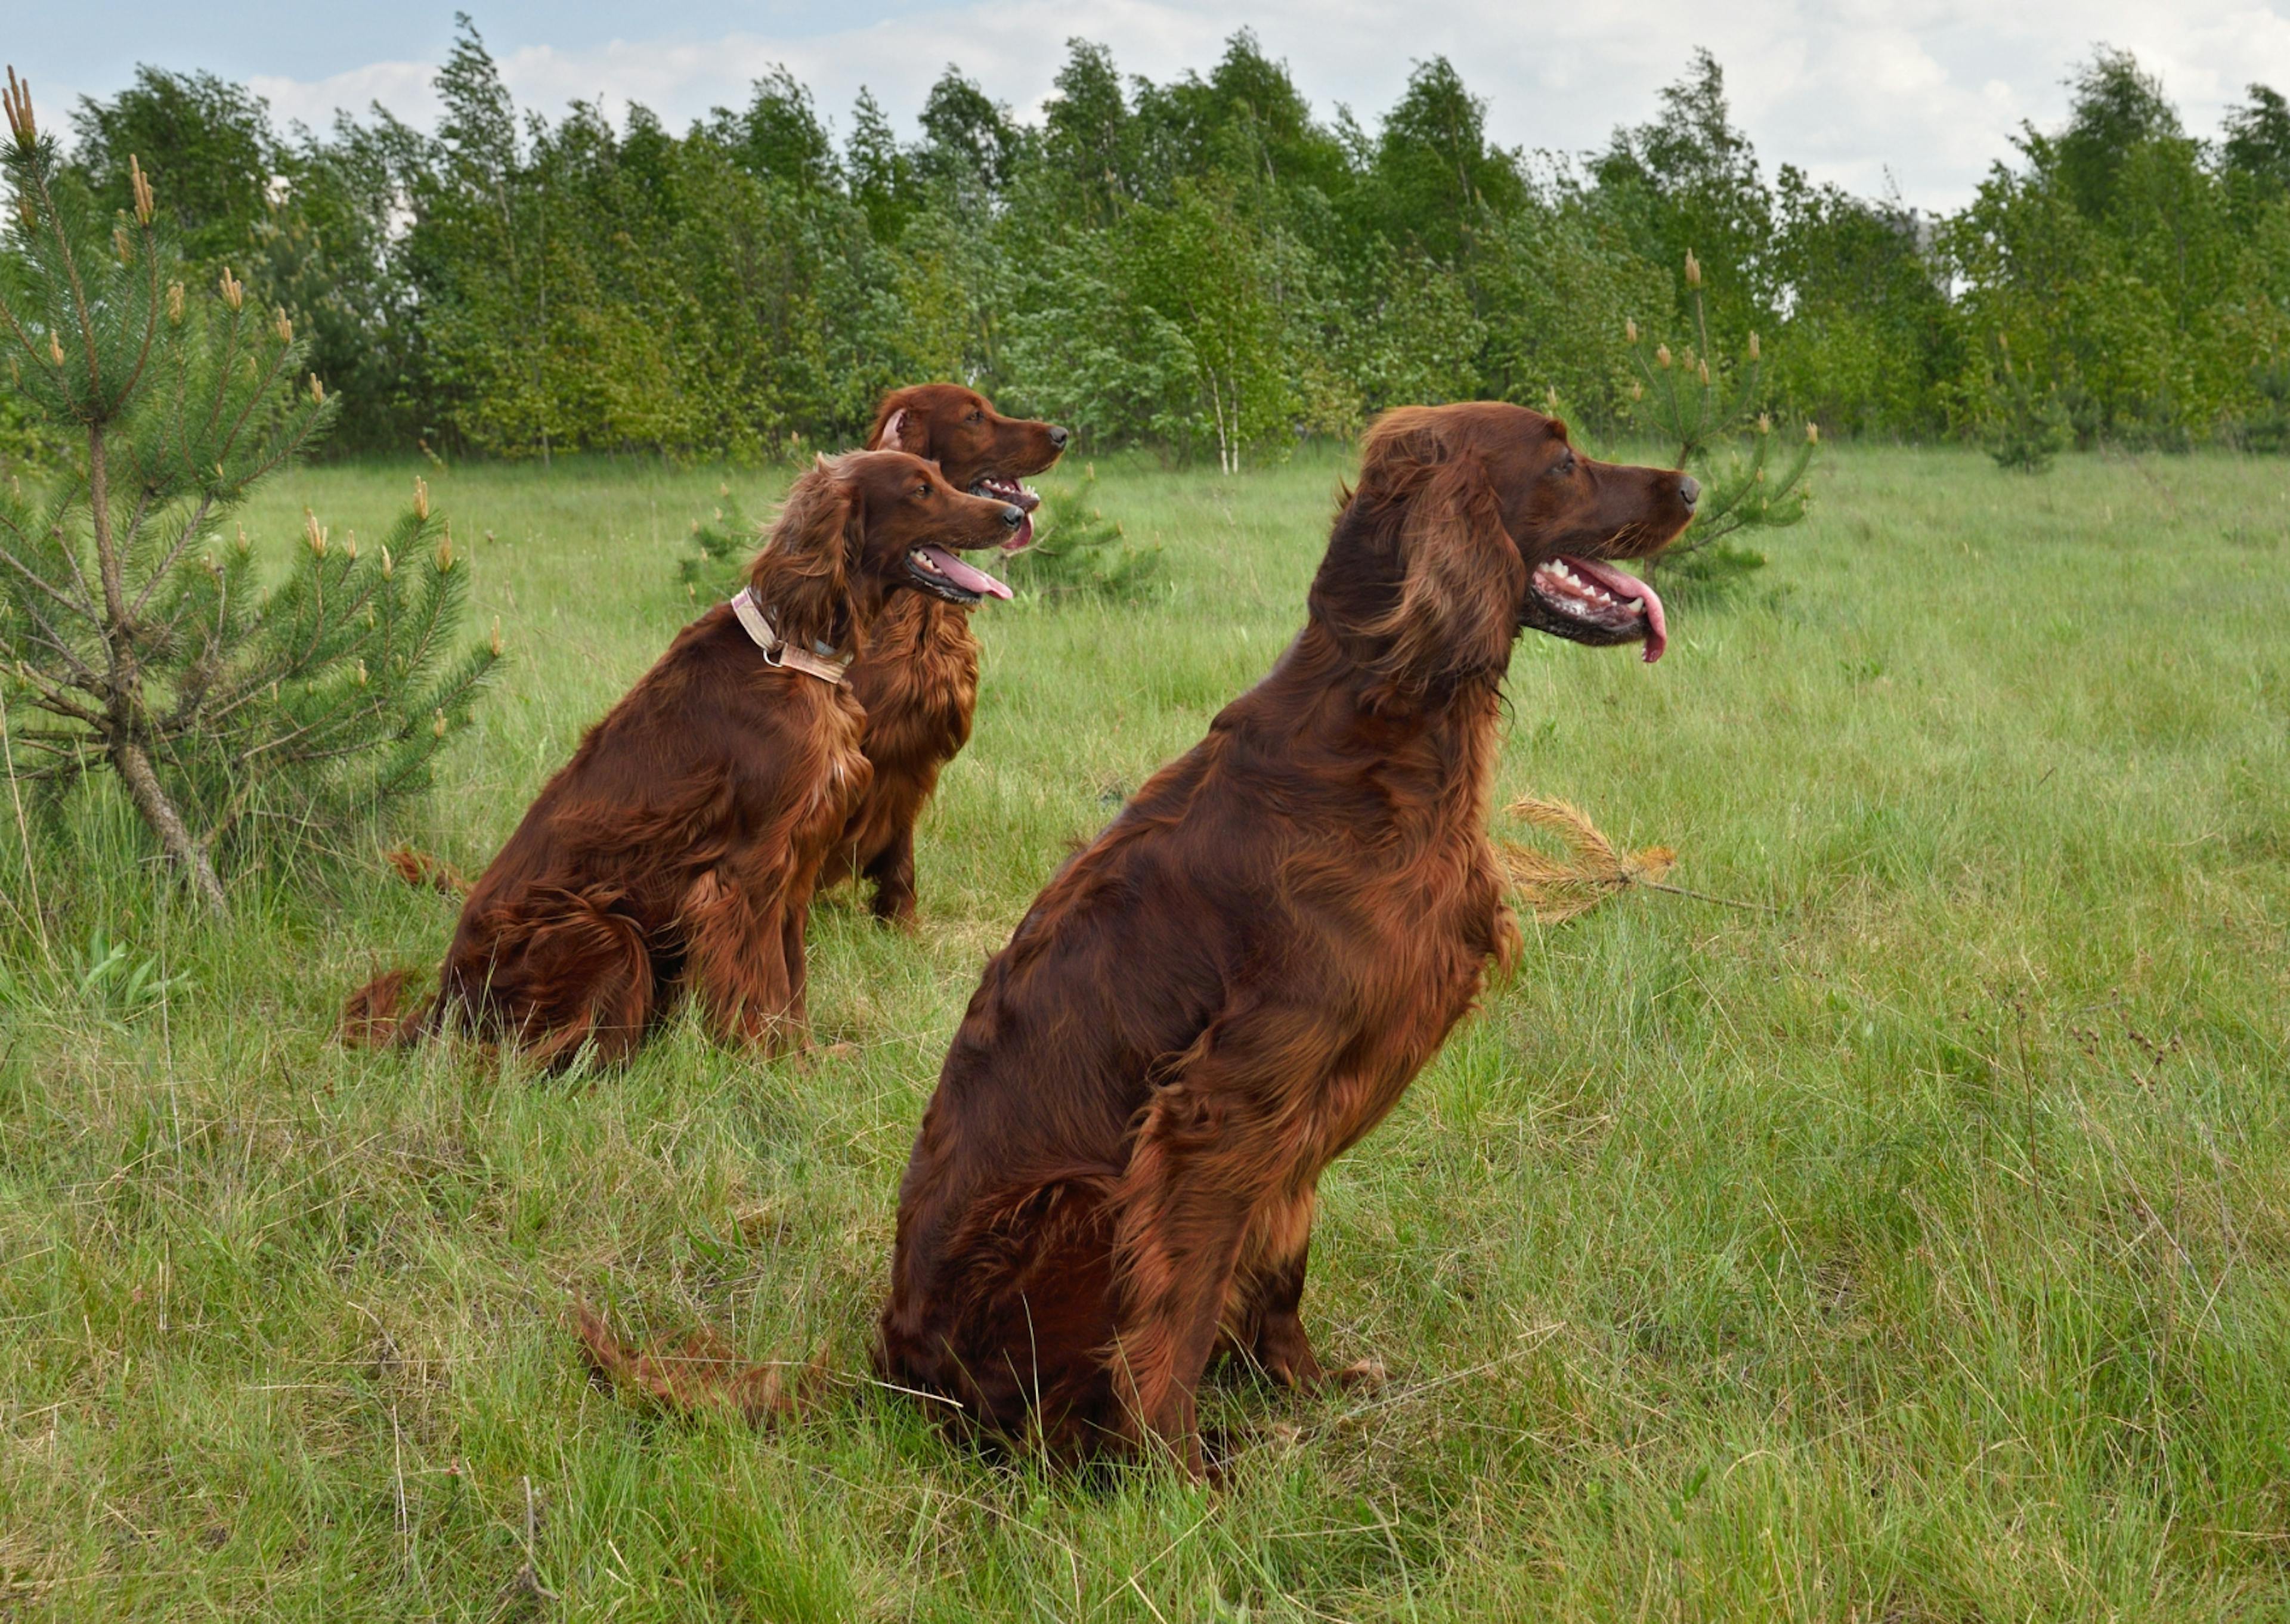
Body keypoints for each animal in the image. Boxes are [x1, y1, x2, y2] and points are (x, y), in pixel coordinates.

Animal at [339, 449, 1030, 1072]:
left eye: (940, 477)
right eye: (919, 490)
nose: (1015, 513)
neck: (791, 651)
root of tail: (441, 1003)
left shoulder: (797, 863)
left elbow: (793, 981)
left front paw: (806, 1059)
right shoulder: (747, 874)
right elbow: (764, 984)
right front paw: (771, 1068)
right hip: (603, 930)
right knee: (516, 1060)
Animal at [819, 382, 1067, 925]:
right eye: (973, 417)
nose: (1063, 433)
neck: (920, 612)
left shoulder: (913, 752)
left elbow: (900, 849)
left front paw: (901, 922)